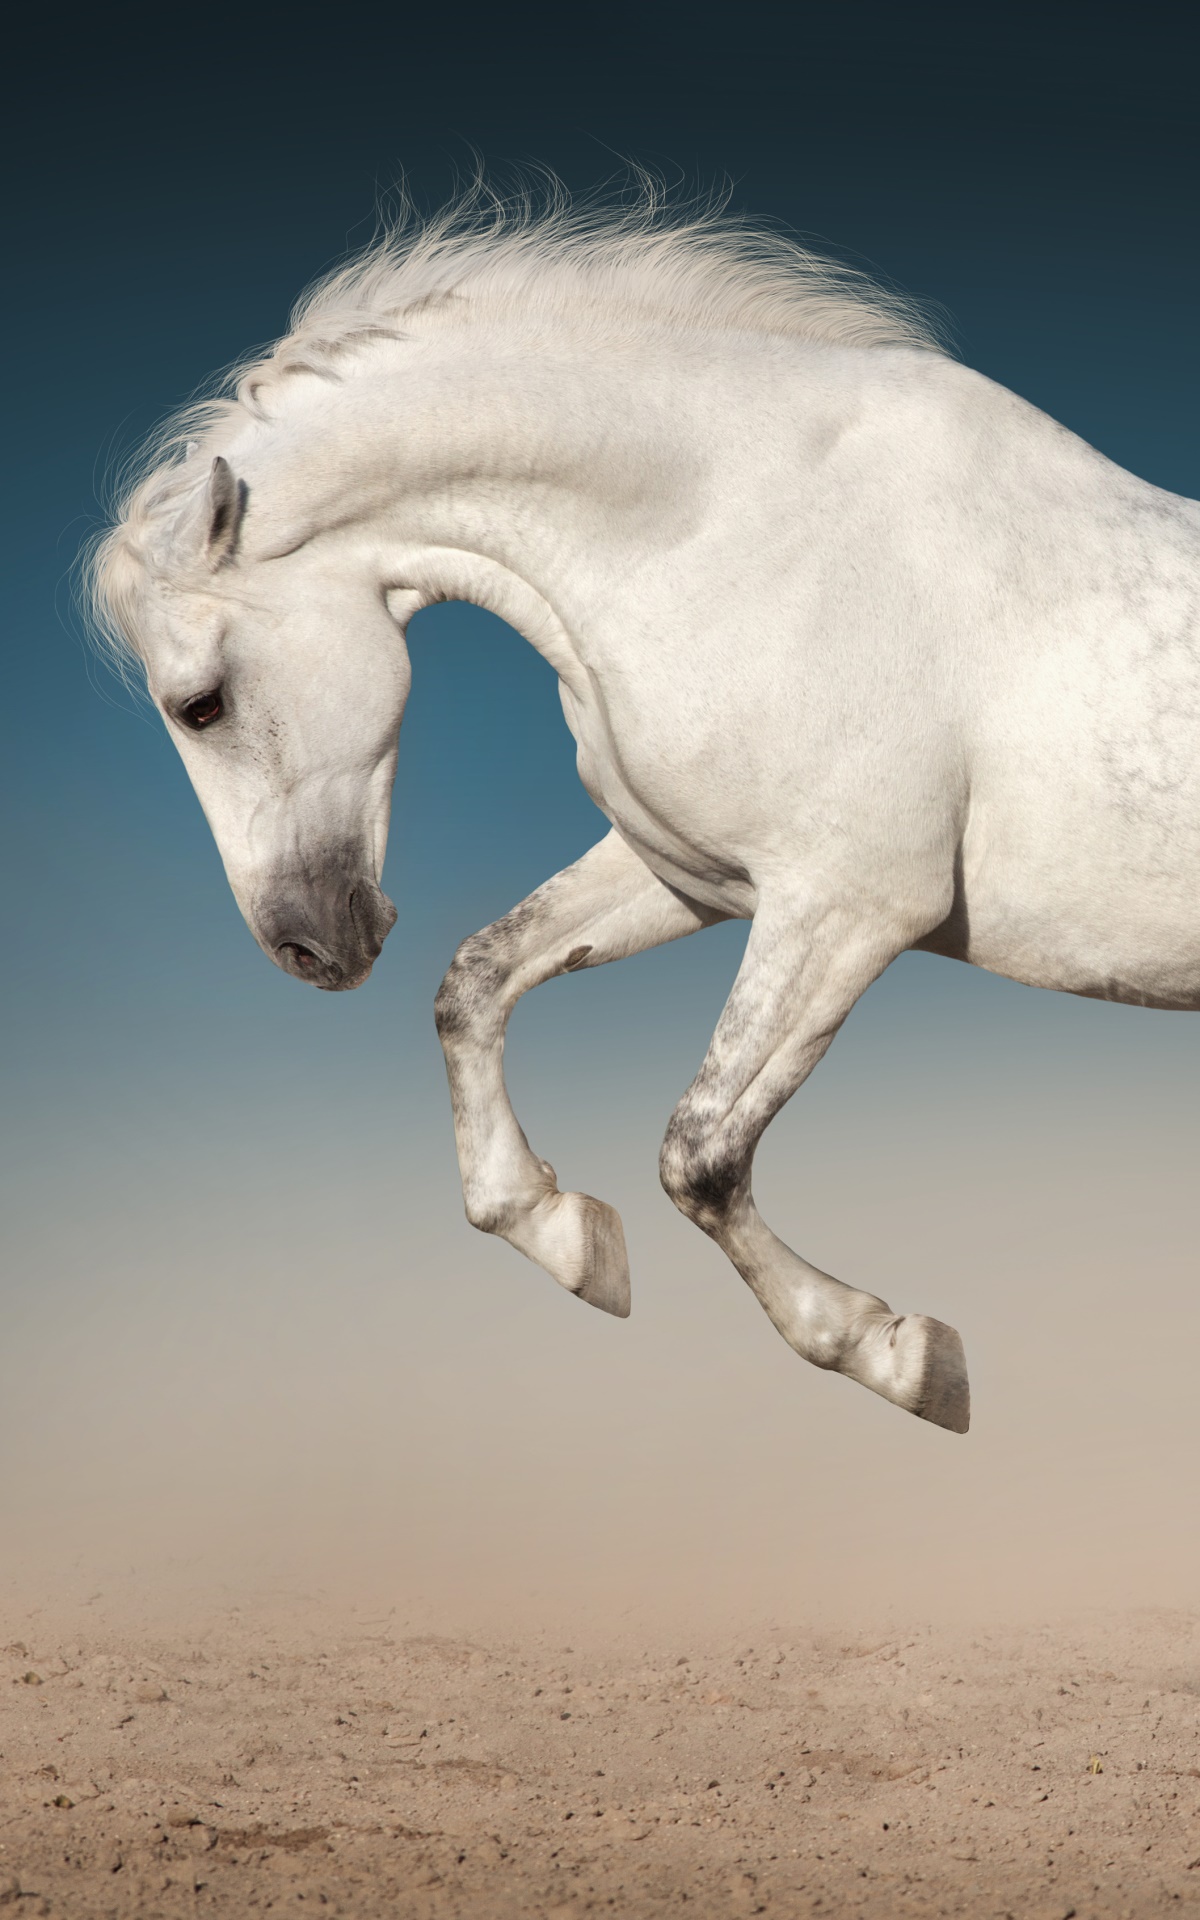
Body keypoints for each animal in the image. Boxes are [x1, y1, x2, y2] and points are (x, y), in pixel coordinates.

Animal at [87, 187, 1200, 1438]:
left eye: (201, 703)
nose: (307, 949)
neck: (730, 528)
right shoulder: (695, 878)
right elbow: (475, 983)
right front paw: (567, 1237)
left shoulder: (850, 906)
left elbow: (700, 1155)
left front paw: (900, 1355)